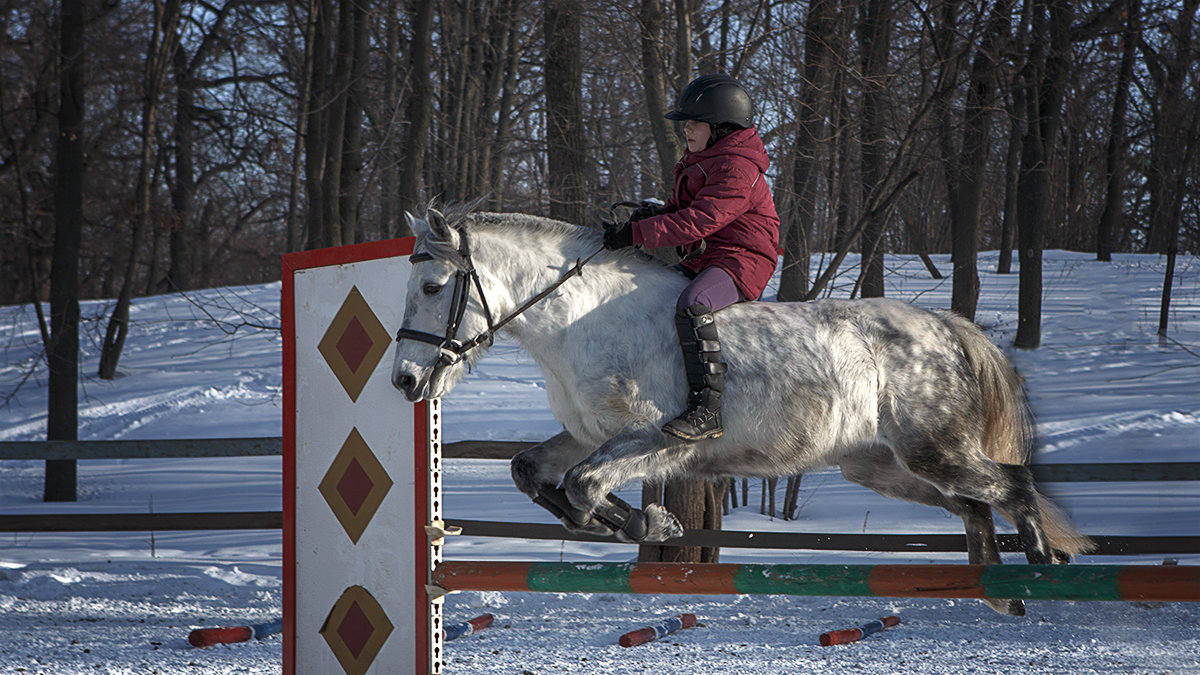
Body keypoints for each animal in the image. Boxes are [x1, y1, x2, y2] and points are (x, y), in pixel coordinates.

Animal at [396, 206, 1099, 614]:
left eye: (432, 287)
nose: (406, 381)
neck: (578, 322)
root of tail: (946, 328)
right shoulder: (586, 432)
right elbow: (534, 473)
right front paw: (641, 523)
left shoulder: (658, 437)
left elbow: (583, 484)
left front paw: (654, 523)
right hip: (884, 466)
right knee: (975, 505)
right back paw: (998, 592)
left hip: (933, 449)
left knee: (1012, 483)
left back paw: (1040, 567)